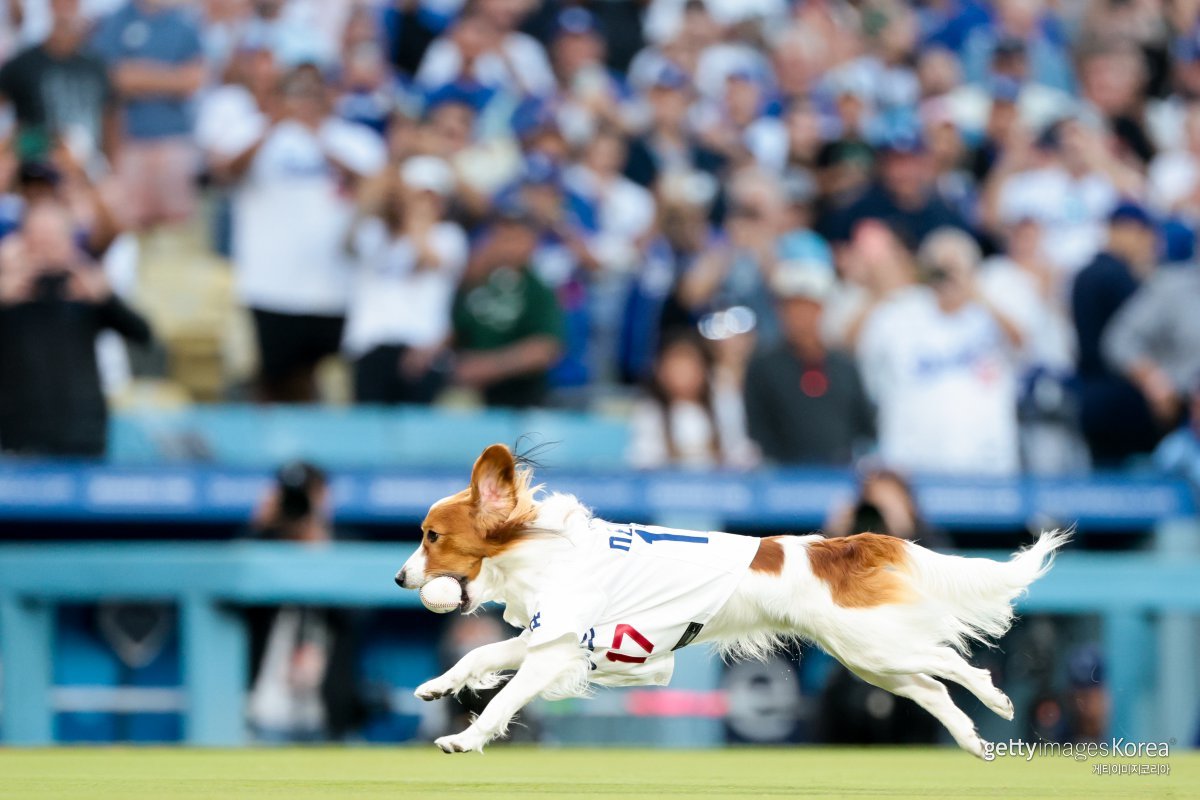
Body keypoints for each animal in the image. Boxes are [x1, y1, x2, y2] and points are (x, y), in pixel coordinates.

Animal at [393, 443, 1070, 758]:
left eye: (431, 537)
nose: (400, 579)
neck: (544, 551)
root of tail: (841, 544)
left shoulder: (556, 651)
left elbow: (503, 698)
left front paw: (466, 739)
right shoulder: (552, 635)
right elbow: (480, 660)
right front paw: (436, 686)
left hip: (874, 645)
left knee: (952, 662)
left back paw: (997, 702)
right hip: (867, 657)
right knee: (930, 687)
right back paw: (971, 740)